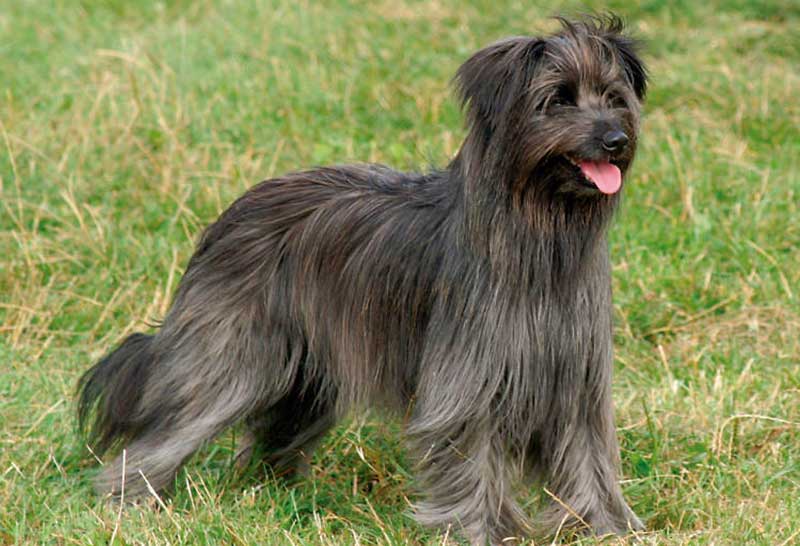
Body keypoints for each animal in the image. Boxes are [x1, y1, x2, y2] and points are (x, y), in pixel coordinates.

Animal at [78, 14, 648, 540]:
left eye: (614, 96)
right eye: (558, 99)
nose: (616, 139)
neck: (539, 240)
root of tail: (230, 216)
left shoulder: (577, 382)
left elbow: (591, 459)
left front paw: (609, 528)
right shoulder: (468, 383)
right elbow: (472, 460)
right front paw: (478, 531)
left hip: (306, 376)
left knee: (272, 433)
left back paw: (274, 492)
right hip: (231, 357)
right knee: (168, 431)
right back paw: (130, 499)